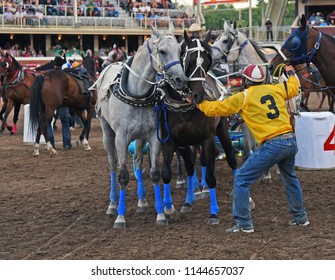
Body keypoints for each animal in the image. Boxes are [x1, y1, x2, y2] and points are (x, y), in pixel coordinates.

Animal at [93, 21, 189, 228]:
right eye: (162, 51)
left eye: (180, 50)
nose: (181, 80)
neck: (137, 92)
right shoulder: (121, 137)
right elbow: (123, 175)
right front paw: (120, 217)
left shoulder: (153, 136)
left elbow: (154, 173)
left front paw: (160, 214)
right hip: (108, 133)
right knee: (112, 164)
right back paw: (112, 205)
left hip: (139, 137)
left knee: (137, 160)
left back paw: (142, 201)